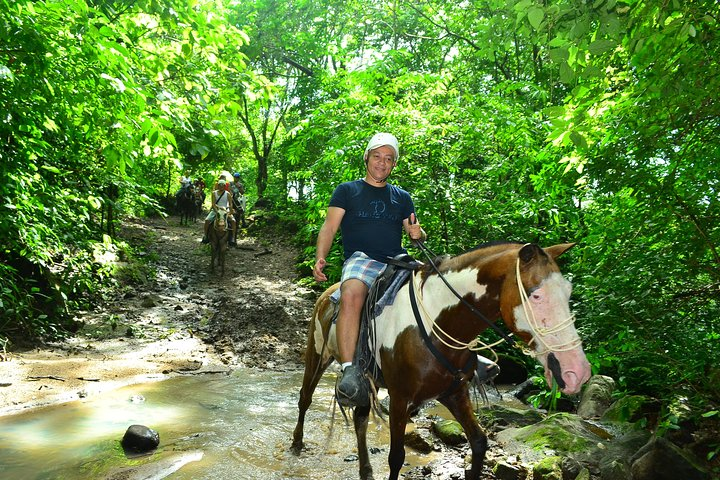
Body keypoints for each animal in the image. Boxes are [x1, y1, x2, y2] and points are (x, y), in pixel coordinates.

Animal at [292, 244, 592, 480]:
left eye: (568, 292)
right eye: (536, 295)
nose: (577, 371)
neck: (436, 324)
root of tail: (328, 292)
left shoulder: (454, 392)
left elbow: (479, 442)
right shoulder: (400, 398)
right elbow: (396, 457)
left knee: (360, 418)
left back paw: (365, 471)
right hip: (317, 355)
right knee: (306, 397)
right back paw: (297, 443)